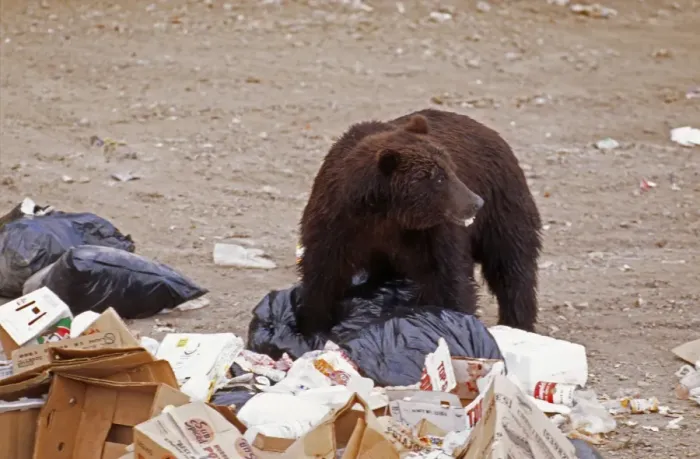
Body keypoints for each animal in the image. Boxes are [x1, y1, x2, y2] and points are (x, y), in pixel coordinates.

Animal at [296, 108, 542, 335]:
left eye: (452, 169)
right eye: (439, 178)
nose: (476, 202)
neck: (385, 217)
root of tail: (490, 131)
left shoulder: (429, 235)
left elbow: (449, 279)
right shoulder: (337, 228)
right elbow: (323, 280)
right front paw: (312, 327)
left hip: (502, 203)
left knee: (511, 263)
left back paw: (517, 324)